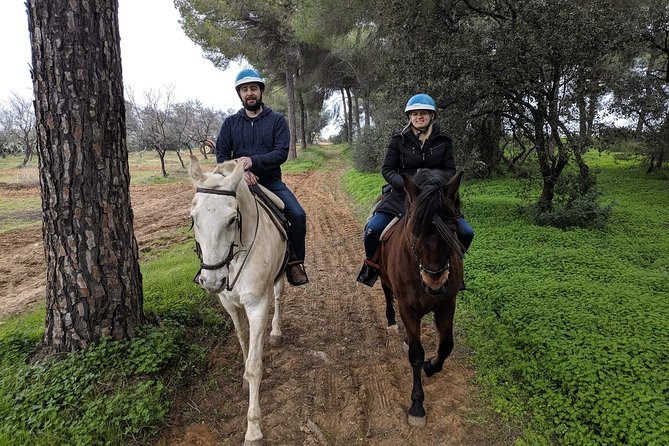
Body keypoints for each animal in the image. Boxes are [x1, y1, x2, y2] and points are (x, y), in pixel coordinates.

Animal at [188, 155, 284, 444]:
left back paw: (275, 332)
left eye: (232, 219)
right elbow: (243, 339)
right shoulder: (230, 304)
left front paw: (253, 430)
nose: (211, 281)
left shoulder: (257, 305)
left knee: (279, 296)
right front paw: (243, 378)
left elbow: (255, 365)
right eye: (193, 218)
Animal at [376, 169, 464, 426]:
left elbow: (446, 345)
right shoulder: (408, 308)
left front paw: (431, 366)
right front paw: (417, 405)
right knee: (387, 293)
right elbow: (415, 355)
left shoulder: (447, 305)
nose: (435, 281)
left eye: (452, 229)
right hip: (383, 276)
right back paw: (391, 322)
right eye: (414, 231)